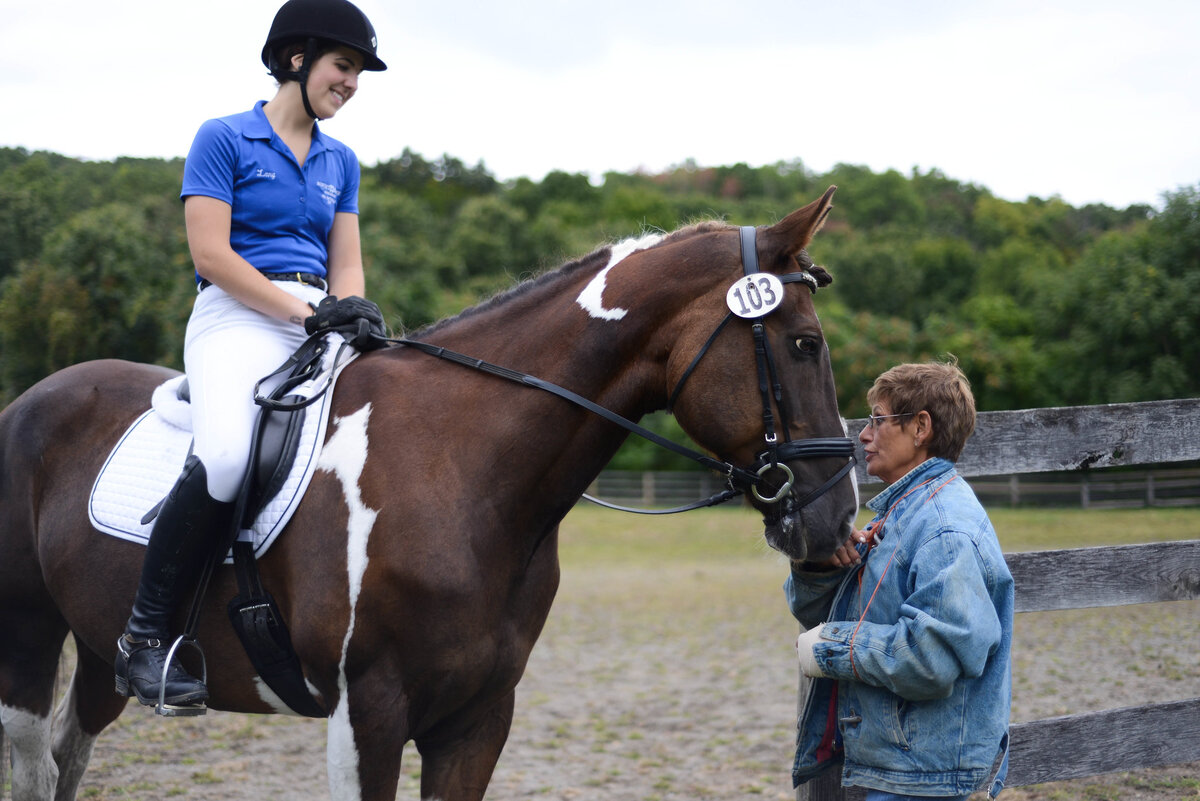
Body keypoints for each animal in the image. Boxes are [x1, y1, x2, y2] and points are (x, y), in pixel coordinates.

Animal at [2, 189, 864, 801]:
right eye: (804, 344)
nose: (838, 520)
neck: (459, 468)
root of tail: (32, 398)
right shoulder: (367, 713)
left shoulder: (477, 717)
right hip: (31, 631)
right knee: (35, 762)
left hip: (99, 647)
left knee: (70, 752)